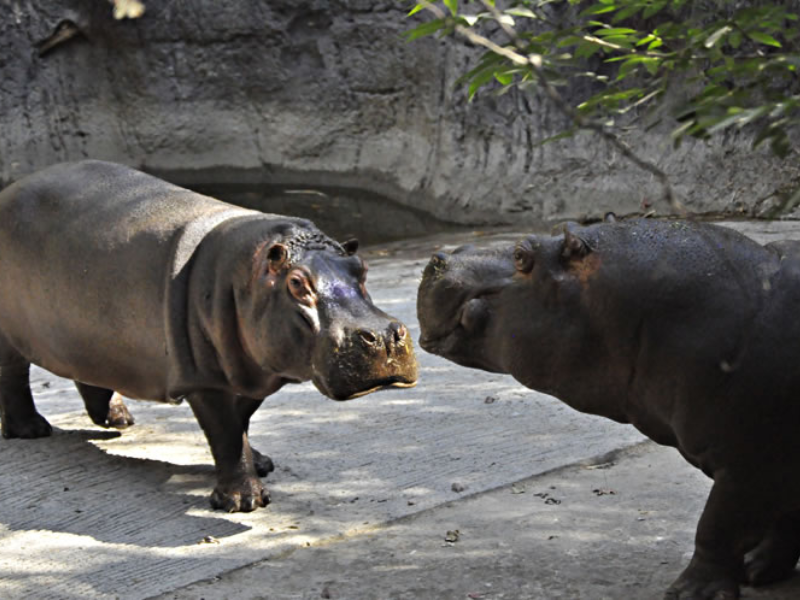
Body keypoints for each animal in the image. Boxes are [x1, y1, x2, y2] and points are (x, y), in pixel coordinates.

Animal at [1, 159, 418, 510]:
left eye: (362, 268)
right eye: (297, 284)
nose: (382, 336)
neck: (249, 276)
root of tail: (12, 188)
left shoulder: (250, 372)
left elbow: (241, 422)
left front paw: (260, 463)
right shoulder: (205, 378)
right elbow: (226, 431)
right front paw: (243, 501)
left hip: (84, 331)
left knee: (88, 371)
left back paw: (119, 419)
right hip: (11, 337)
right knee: (14, 375)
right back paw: (31, 430)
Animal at [416, 216, 800, 600]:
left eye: (521, 255)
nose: (442, 257)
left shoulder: (747, 465)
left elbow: (717, 527)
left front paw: (690, 593)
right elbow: (782, 523)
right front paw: (755, 568)